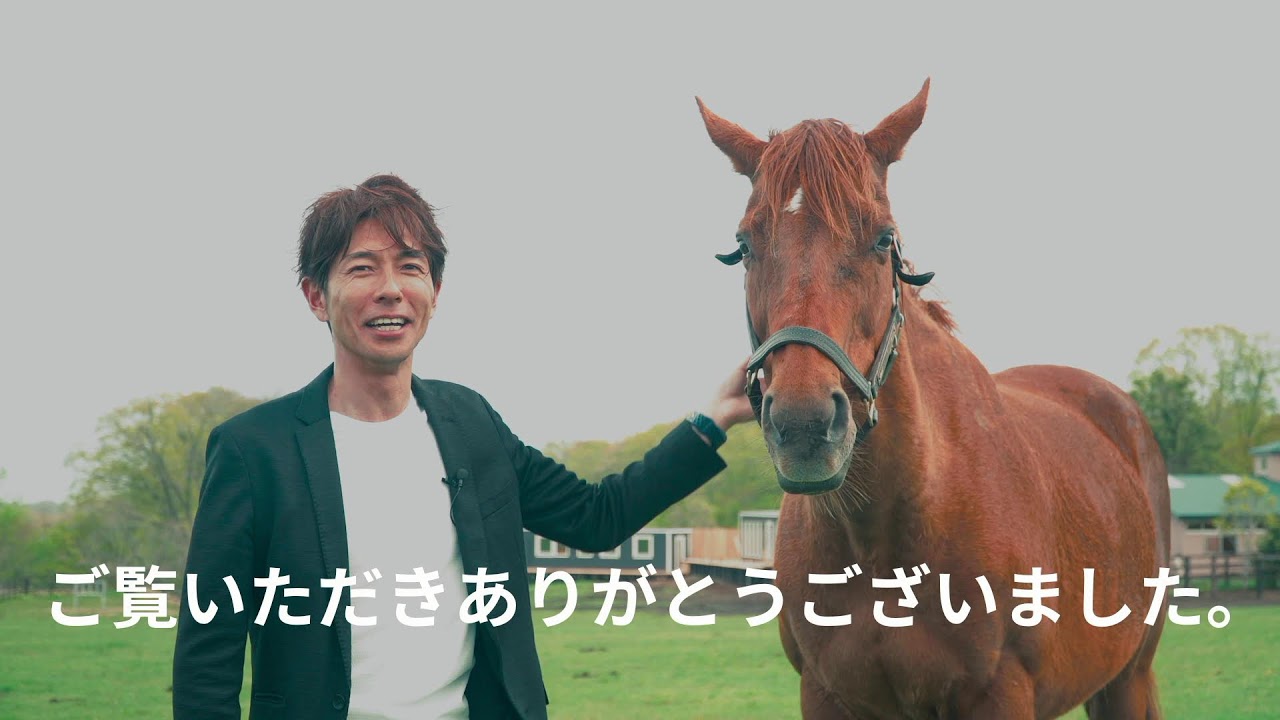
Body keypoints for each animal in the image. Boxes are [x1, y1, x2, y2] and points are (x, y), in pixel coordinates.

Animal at [697, 80, 1171, 719]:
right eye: (744, 245)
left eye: (883, 239)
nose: (804, 428)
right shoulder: (823, 693)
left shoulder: (999, 694)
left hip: (1127, 679)